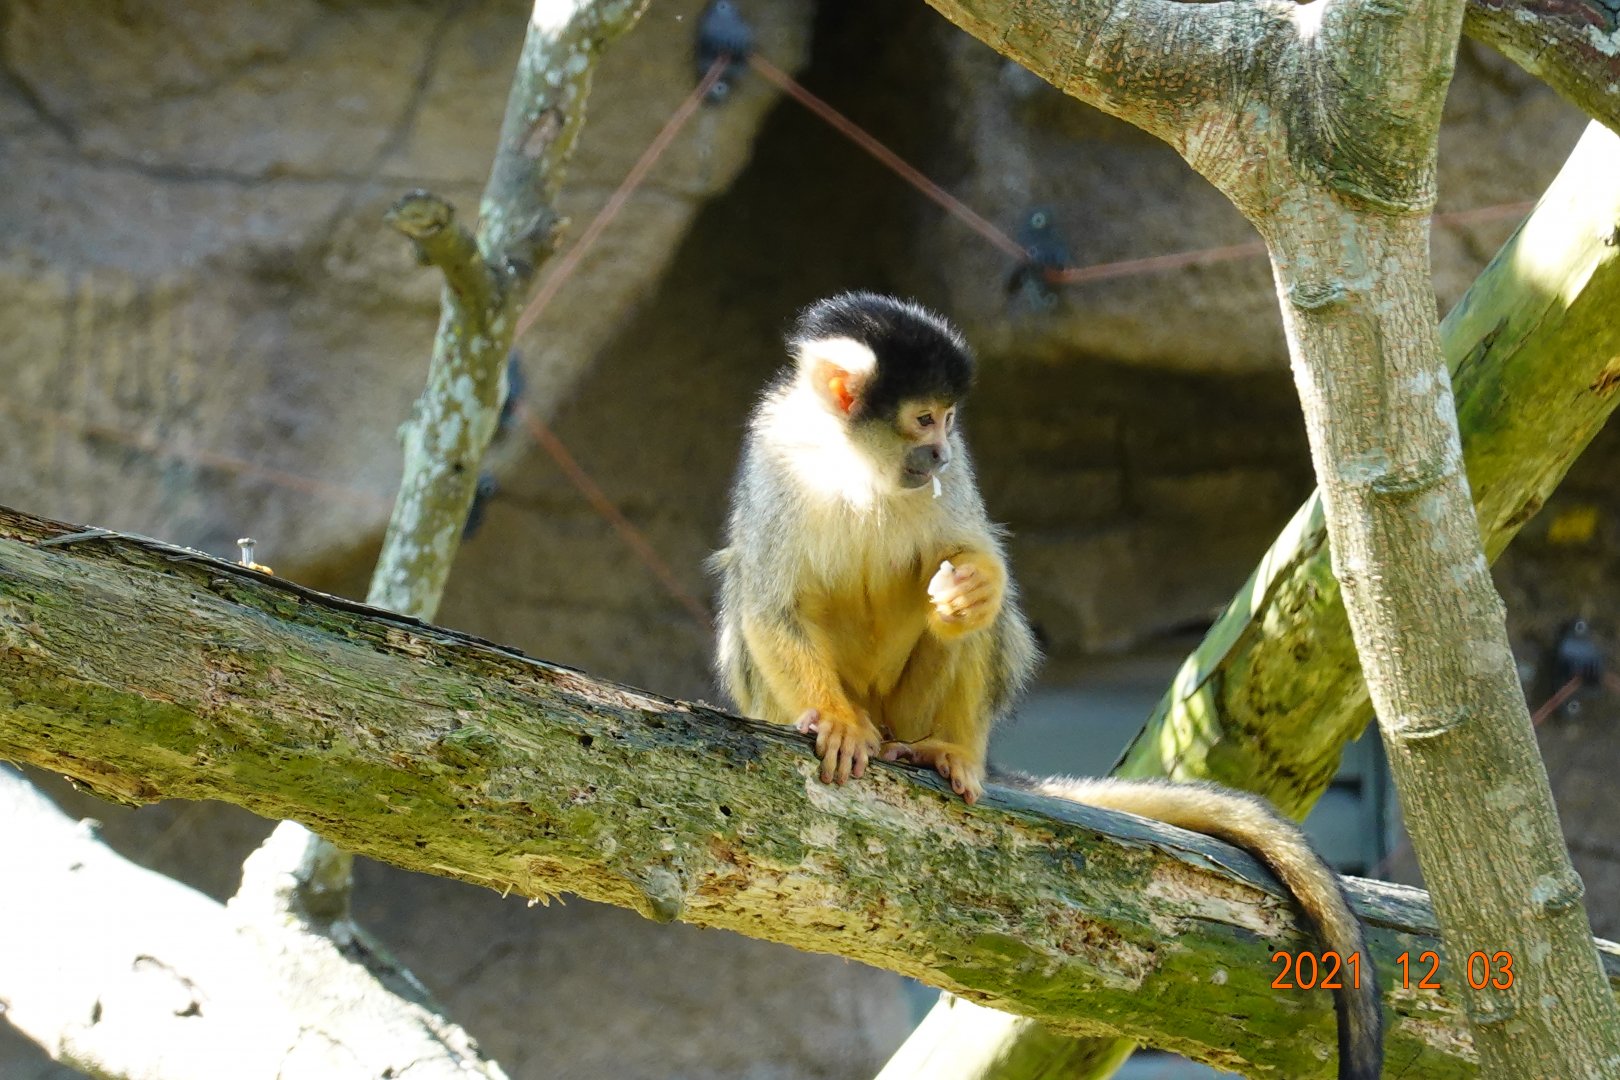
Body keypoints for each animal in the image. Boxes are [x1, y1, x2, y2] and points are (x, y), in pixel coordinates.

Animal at [708, 291, 1382, 1080]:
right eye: (923, 418)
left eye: (949, 420)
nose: (941, 452)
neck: (855, 466)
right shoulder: (776, 461)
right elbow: (767, 606)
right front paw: (837, 724)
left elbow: (974, 557)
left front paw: (974, 586)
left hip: (911, 709)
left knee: (974, 627)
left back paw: (951, 748)